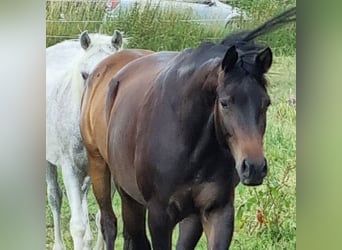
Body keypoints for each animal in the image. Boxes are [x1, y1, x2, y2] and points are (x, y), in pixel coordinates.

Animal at [46, 30, 123, 249]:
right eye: (84, 75)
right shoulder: (70, 170)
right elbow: (77, 226)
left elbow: (102, 218)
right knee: (55, 198)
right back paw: (59, 245)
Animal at [80, 6, 294, 249]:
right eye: (225, 102)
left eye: (266, 103)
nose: (254, 167)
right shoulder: (159, 216)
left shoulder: (216, 211)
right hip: (105, 172)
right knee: (110, 224)